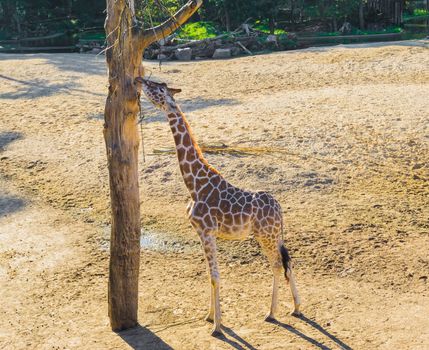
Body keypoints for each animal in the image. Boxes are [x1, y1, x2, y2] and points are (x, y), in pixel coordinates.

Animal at [135, 77, 300, 336]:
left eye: (158, 88)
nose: (139, 79)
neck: (194, 183)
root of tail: (280, 209)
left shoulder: (207, 231)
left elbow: (215, 276)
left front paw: (218, 327)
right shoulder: (201, 233)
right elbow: (208, 274)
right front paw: (209, 316)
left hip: (266, 236)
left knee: (276, 265)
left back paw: (271, 313)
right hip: (274, 235)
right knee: (288, 262)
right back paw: (296, 308)